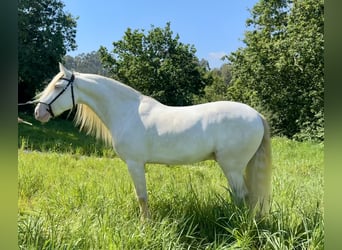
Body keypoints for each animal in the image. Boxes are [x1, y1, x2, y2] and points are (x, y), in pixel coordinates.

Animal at [33, 63, 272, 219]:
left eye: (57, 87)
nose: (38, 112)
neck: (127, 111)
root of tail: (256, 115)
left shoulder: (135, 163)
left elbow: (142, 197)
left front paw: (145, 225)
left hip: (232, 167)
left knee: (243, 196)